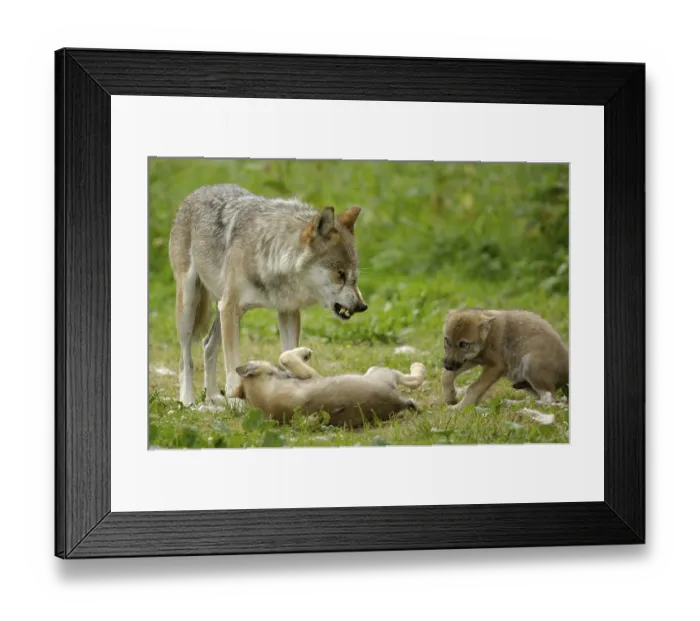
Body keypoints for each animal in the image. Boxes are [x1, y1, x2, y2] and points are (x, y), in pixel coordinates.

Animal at [168, 184, 367, 406]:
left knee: (208, 345)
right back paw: (188, 401)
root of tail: (201, 189)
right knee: (185, 359)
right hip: (191, 307)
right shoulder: (230, 307)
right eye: (340, 274)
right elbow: (232, 365)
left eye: (355, 277)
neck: (271, 252)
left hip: (226, 312)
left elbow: (287, 350)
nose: (362, 306)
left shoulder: (287, 311)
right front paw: (237, 401)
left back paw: (213, 397)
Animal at [231, 347, 426, 427]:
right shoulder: (311, 375)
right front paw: (304, 352)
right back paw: (418, 366)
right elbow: (285, 356)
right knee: (413, 379)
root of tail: (399, 402)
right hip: (379, 371)